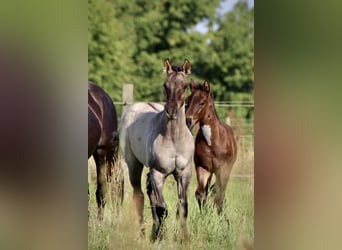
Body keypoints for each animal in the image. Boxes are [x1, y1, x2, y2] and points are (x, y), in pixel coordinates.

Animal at [119, 58, 195, 242]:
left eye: (184, 86)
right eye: (165, 85)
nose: (171, 111)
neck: (174, 139)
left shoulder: (184, 174)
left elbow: (183, 206)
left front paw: (185, 237)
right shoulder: (158, 173)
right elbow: (162, 208)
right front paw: (160, 237)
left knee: (149, 194)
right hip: (134, 164)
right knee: (139, 196)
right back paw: (142, 233)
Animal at [184, 79, 238, 214]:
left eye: (202, 102)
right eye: (187, 102)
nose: (188, 121)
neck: (213, 143)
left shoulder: (223, 168)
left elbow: (218, 193)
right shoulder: (203, 167)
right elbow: (200, 193)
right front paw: (204, 215)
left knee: (220, 192)